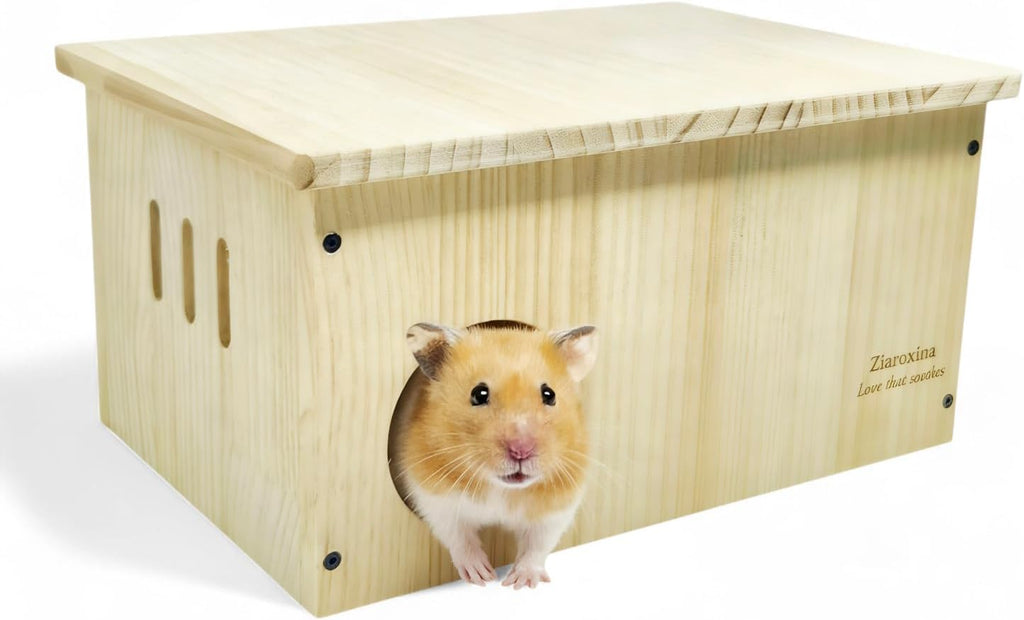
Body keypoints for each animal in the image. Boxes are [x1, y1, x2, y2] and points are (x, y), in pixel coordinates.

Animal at [391, 320, 598, 589]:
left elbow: (537, 545)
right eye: (479, 394)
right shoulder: (435, 498)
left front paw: (520, 583)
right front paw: (482, 576)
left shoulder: (558, 508)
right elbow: (459, 537)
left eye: (549, 394)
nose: (521, 450)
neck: (502, 488)